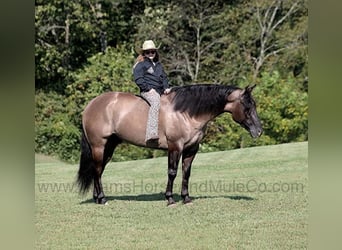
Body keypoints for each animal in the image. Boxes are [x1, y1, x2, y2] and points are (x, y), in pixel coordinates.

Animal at [77, 84, 264, 205]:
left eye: (254, 105)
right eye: (247, 107)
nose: (259, 131)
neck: (185, 112)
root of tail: (90, 106)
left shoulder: (191, 149)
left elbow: (186, 173)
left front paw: (186, 198)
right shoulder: (175, 147)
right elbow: (172, 172)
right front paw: (170, 198)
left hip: (109, 147)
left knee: (98, 170)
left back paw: (97, 198)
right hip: (98, 146)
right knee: (97, 170)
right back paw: (102, 199)